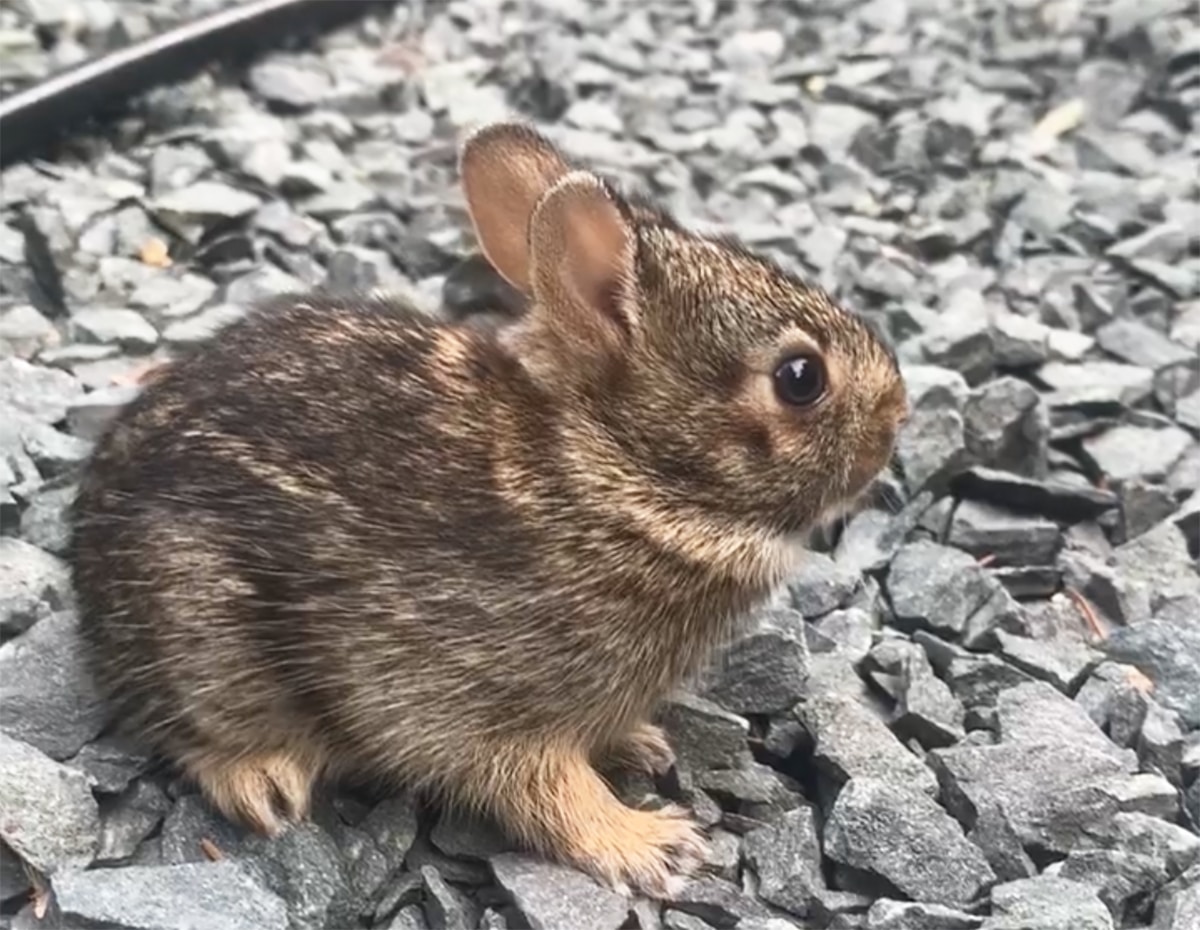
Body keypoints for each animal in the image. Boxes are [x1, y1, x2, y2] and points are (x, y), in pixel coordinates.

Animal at [70, 120, 902, 897]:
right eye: (800, 377)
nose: (897, 418)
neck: (618, 470)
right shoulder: (479, 704)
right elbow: (543, 788)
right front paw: (649, 845)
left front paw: (640, 746)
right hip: (200, 628)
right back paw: (264, 783)